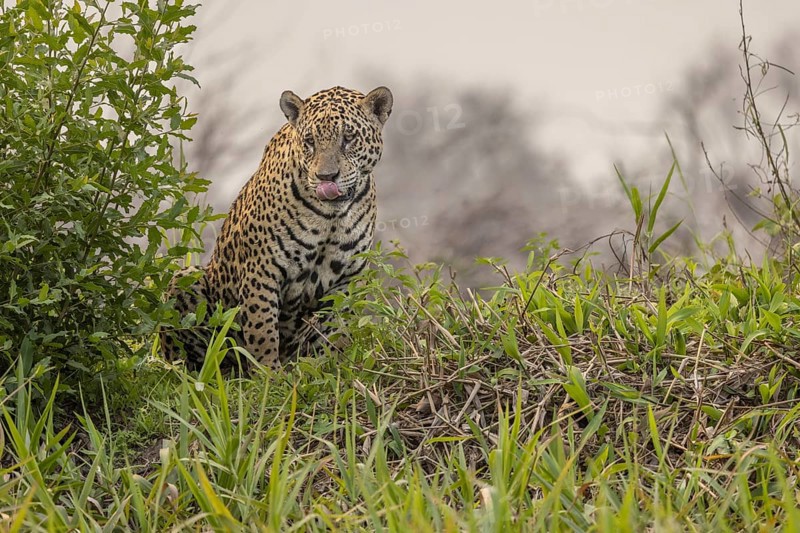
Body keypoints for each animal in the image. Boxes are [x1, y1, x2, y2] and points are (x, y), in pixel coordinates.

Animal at [161, 86, 393, 371]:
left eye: (348, 138)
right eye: (309, 141)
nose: (326, 177)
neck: (330, 217)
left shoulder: (346, 280)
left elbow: (334, 333)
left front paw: (330, 369)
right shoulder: (261, 270)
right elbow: (262, 331)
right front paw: (268, 374)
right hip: (185, 280)